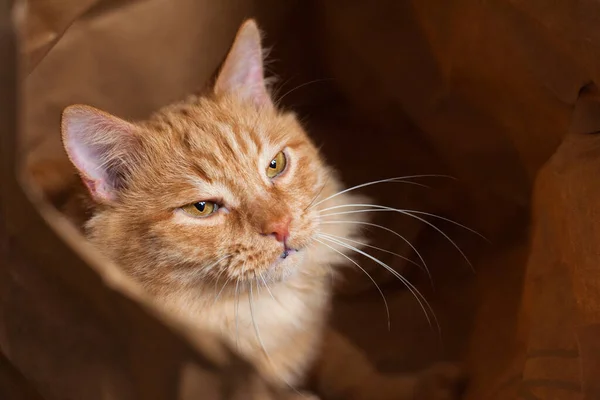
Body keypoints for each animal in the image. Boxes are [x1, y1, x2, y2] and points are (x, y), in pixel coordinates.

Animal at [55, 17, 464, 398]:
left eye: (275, 165)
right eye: (202, 208)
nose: (282, 226)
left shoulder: (317, 336)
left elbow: (348, 364)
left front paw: (411, 386)